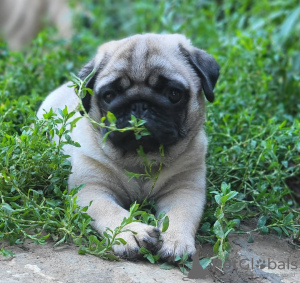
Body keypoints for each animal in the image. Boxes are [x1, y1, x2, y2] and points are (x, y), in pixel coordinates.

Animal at [38, 33, 220, 262]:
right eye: (109, 96)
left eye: (173, 94)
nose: (139, 104)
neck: (140, 160)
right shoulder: (92, 189)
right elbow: (111, 211)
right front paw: (131, 233)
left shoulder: (184, 189)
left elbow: (180, 214)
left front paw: (175, 240)